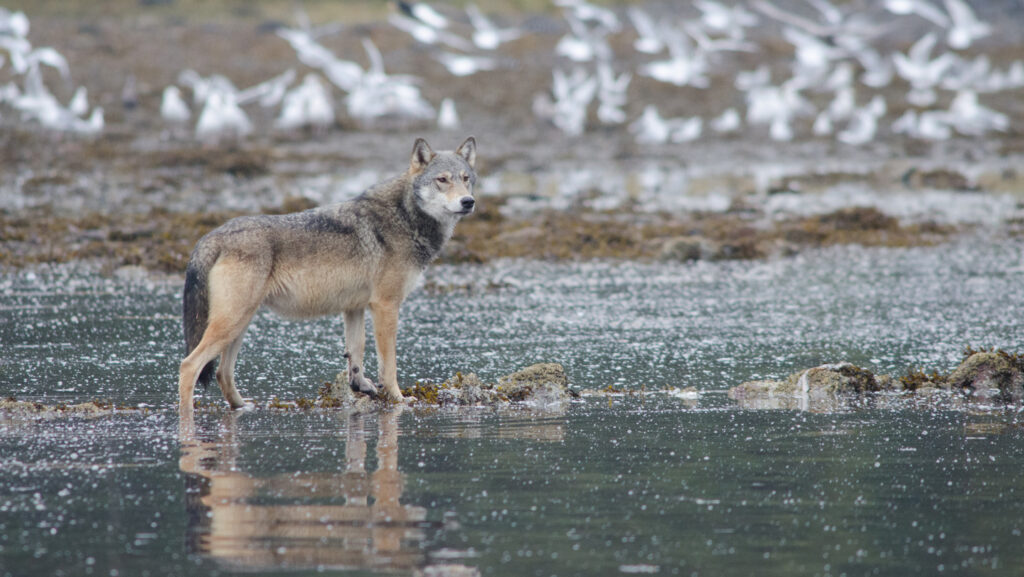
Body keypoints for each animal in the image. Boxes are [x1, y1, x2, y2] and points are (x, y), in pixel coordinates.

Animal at [178, 137, 477, 413]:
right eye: (442, 180)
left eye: (466, 179)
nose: (468, 201)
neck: (405, 215)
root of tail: (212, 236)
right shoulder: (386, 306)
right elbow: (389, 364)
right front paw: (398, 399)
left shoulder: (355, 308)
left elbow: (356, 354)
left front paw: (360, 385)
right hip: (231, 323)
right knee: (189, 366)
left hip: (240, 325)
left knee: (222, 373)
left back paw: (245, 407)